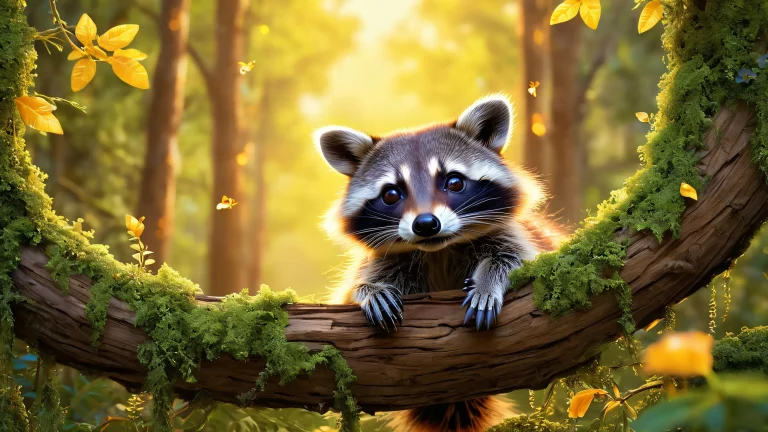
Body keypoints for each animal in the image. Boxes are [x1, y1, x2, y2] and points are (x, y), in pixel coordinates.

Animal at [315, 95, 563, 432]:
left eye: (454, 182)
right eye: (391, 194)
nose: (425, 224)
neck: (439, 251)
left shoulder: (520, 237)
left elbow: (516, 258)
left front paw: (489, 280)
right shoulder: (385, 261)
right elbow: (349, 292)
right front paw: (368, 290)